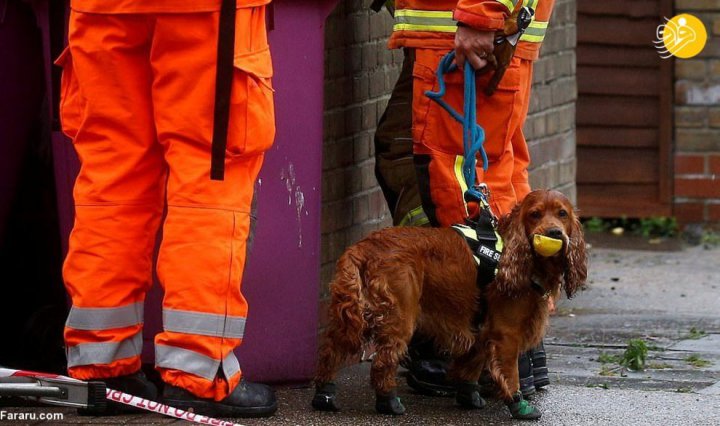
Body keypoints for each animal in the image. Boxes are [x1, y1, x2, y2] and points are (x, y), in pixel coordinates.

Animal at [312, 189, 588, 420]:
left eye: (562, 214)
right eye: (535, 214)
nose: (554, 233)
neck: (514, 255)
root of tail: (363, 246)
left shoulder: (483, 332)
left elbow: (472, 365)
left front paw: (470, 396)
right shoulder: (505, 334)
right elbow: (511, 375)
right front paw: (519, 405)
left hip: (351, 317)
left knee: (330, 352)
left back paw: (324, 395)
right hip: (399, 317)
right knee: (382, 362)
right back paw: (389, 402)